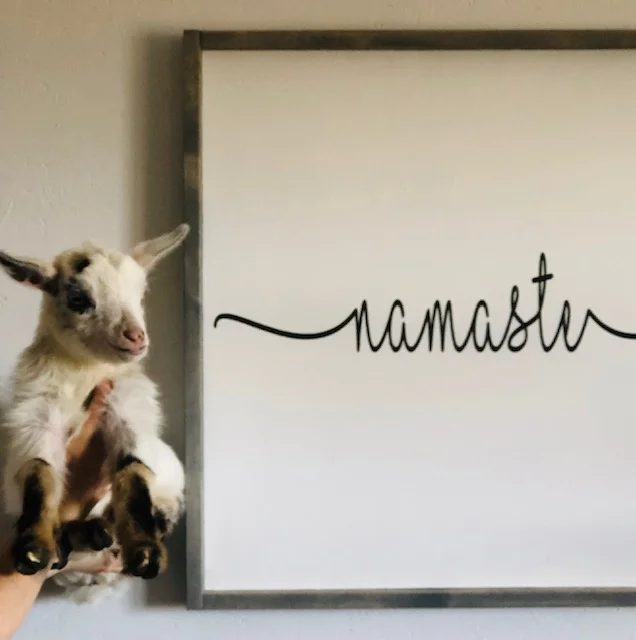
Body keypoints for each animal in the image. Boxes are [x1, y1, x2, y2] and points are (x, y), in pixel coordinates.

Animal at [0, 224, 189, 602]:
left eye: (141, 295)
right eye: (78, 299)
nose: (136, 337)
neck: (83, 374)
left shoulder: (127, 408)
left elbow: (133, 472)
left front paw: (145, 551)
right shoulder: (36, 415)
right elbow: (38, 473)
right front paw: (32, 549)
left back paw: (102, 531)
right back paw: (79, 537)